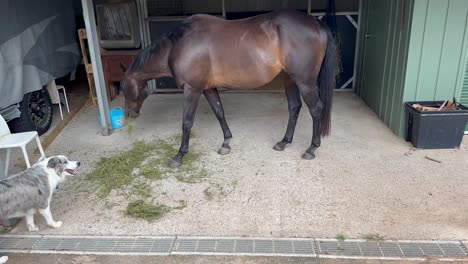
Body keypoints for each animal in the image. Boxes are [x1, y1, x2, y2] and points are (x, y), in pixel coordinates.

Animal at [120, 10, 336, 167]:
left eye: (122, 88)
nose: (129, 114)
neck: (176, 46)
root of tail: (316, 23)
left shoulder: (192, 90)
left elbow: (187, 123)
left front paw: (179, 155)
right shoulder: (208, 88)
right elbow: (219, 112)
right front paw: (226, 143)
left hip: (305, 82)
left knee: (316, 109)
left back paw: (311, 149)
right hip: (290, 80)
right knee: (294, 107)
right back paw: (283, 142)